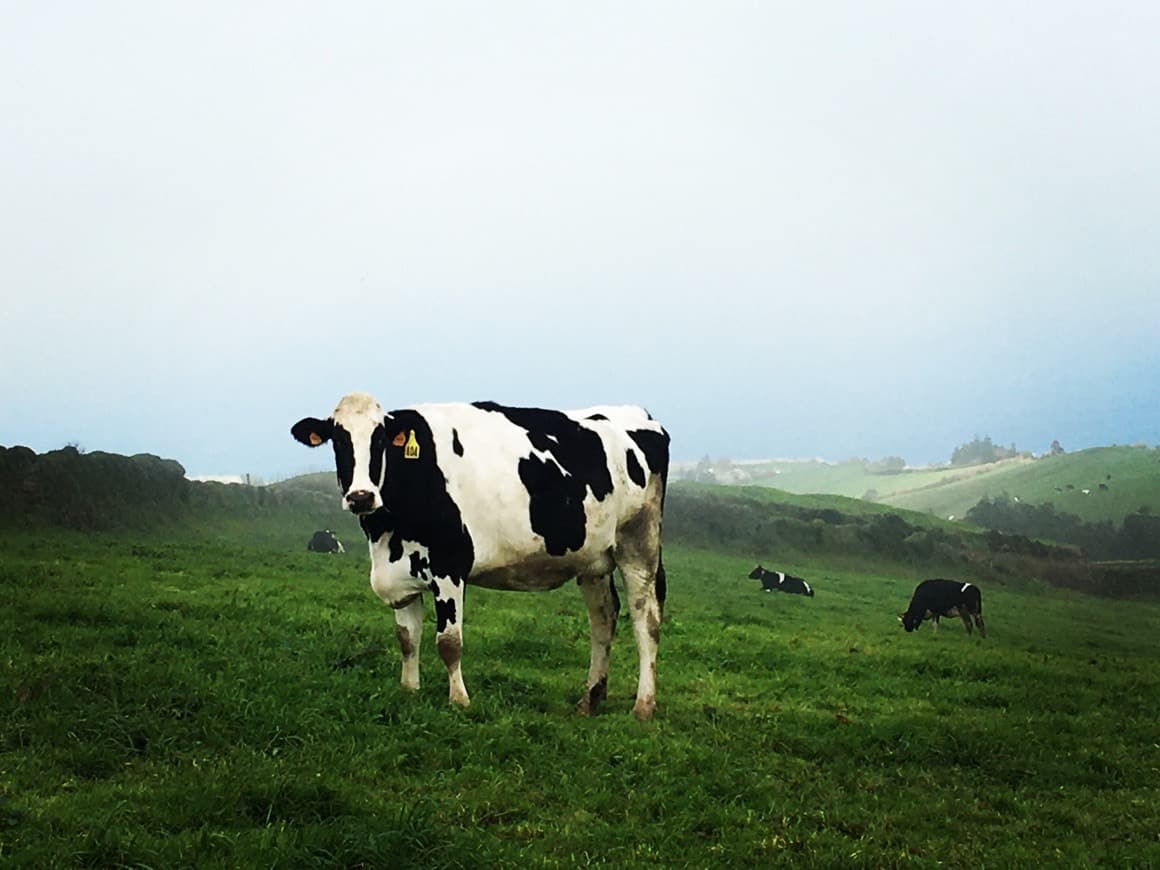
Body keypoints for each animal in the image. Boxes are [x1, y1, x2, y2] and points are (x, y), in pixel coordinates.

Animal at [290, 394, 672, 723]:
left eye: (381, 439)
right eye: (338, 440)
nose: (361, 496)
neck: (386, 532)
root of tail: (641, 415)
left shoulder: (448, 566)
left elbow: (448, 642)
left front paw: (459, 700)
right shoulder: (400, 578)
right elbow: (406, 639)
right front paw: (410, 690)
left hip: (639, 544)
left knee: (646, 620)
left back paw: (643, 705)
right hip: (593, 560)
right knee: (603, 620)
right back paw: (589, 700)